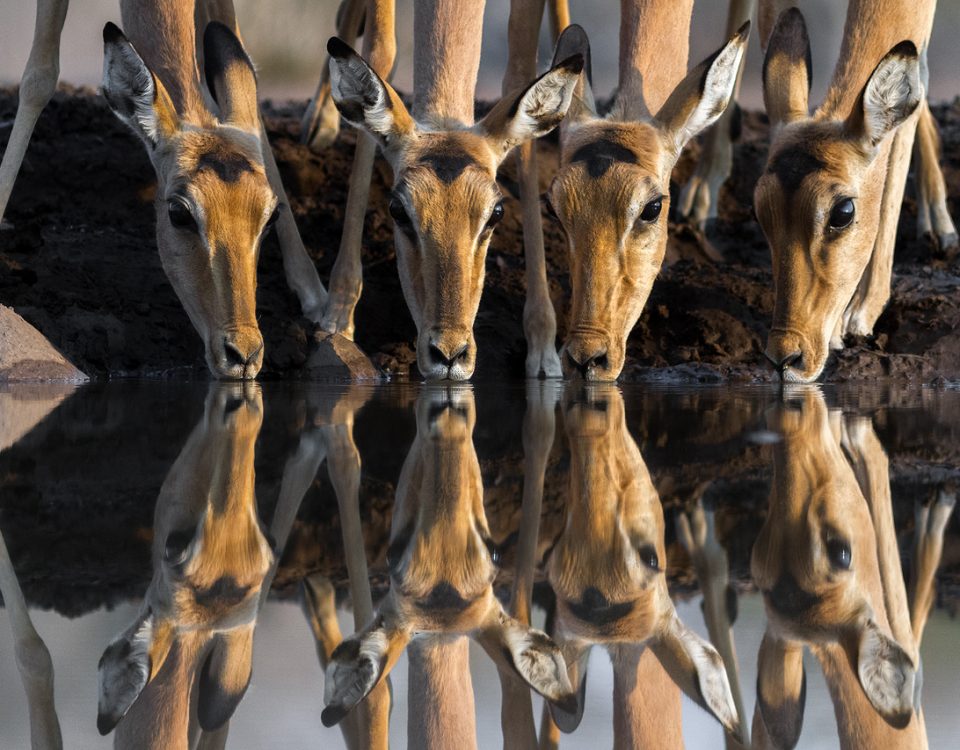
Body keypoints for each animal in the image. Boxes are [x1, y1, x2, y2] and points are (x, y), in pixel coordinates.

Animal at [324, 0, 584, 380]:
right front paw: (337, 323)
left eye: (496, 213)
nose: (449, 354)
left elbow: (520, 74)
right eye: (397, 209)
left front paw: (543, 353)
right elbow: (380, 53)